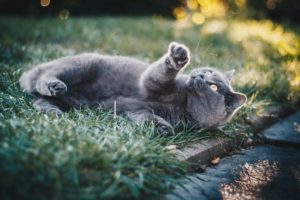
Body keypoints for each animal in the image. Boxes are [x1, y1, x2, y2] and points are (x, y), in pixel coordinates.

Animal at [19, 42, 247, 135]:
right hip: (81, 65)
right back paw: (54, 85)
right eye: (208, 71)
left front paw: (163, 128)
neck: (184, 103)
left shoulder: (138, 110)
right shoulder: (151, 84)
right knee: (43, 78)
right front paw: (177, 57)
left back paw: (54, 112)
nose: (198, 75)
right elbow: (159, 74)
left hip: (67, 101)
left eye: (213, 87)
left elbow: (146, 117)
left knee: (38, 100)